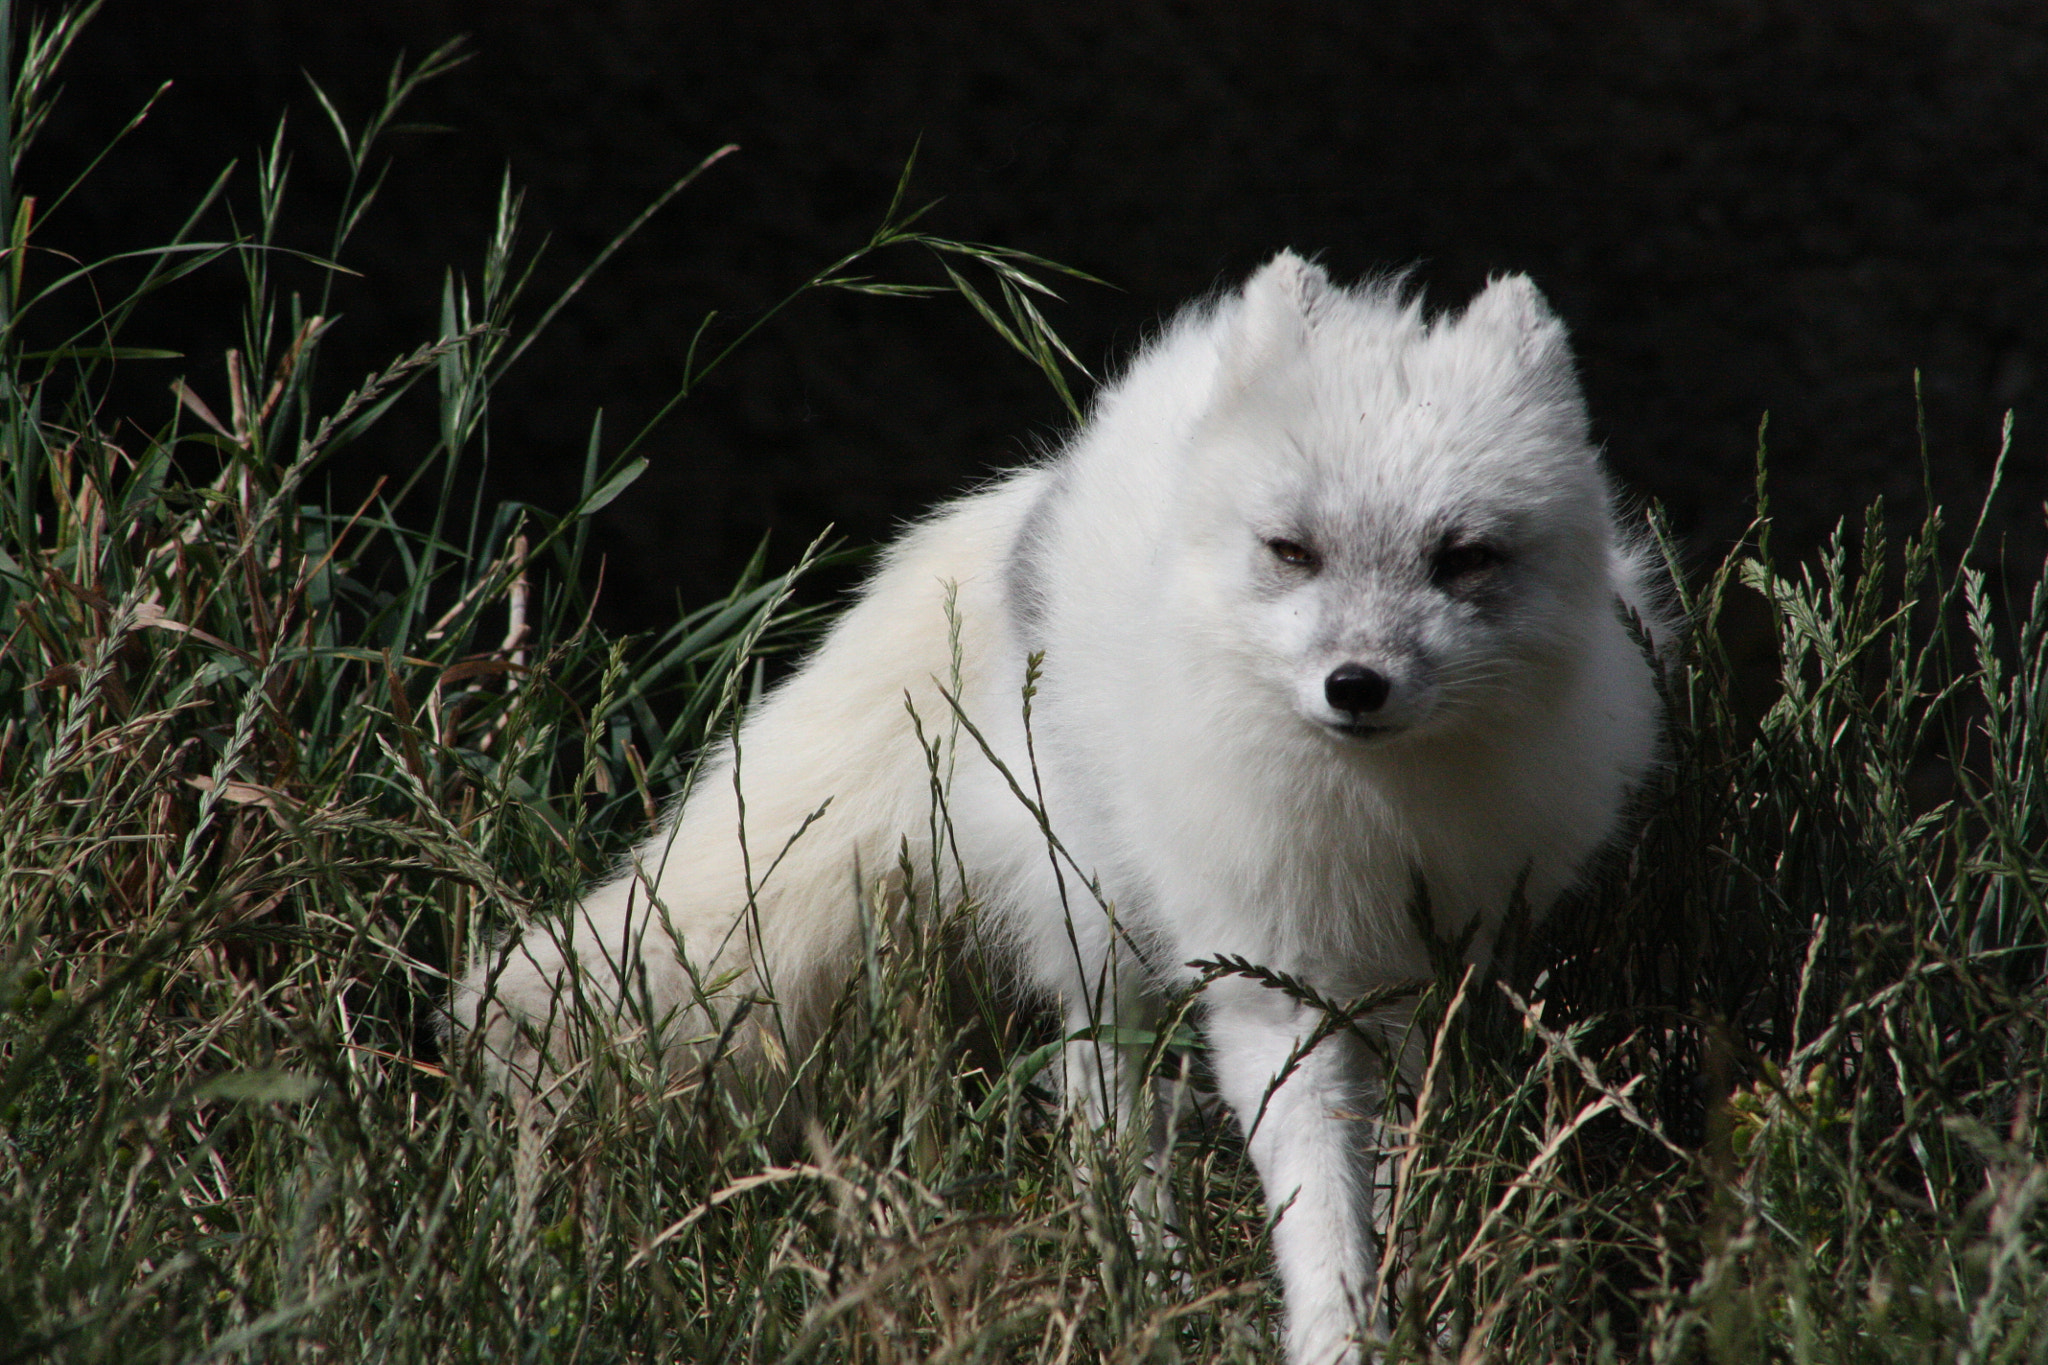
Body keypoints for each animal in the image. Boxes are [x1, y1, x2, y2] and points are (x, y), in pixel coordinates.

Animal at [456, 252, 1667, 1365]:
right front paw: (1336, 1335)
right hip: (1097, 929)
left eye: (1462, 559)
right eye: (1292, 552)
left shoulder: (1435, 980)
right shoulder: (1272, 991)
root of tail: (1043, 486)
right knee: (1101, 1105)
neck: (1371, 819)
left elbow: (1412, 1163)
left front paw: (1428, 1295)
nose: (1355, 687)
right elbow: (1316, 1207)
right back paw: (1146, 1279)